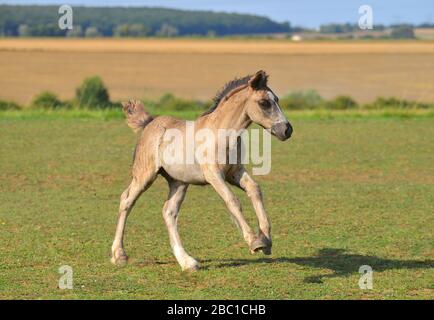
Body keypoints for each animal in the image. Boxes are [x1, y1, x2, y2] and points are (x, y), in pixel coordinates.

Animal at [110, 70, 294, 270]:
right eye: (264, 102)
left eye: (276, 99)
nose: (287, 130)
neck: (222, 134)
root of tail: (150, 123)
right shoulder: (214, 175)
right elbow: (232, 200)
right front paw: (254, 241)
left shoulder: (235, 173)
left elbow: (255, 190)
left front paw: (266, 240)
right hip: (145, 175)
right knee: (127, 200)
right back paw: (119, 255)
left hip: (179, 182)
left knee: (169, 212)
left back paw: (187, 262)